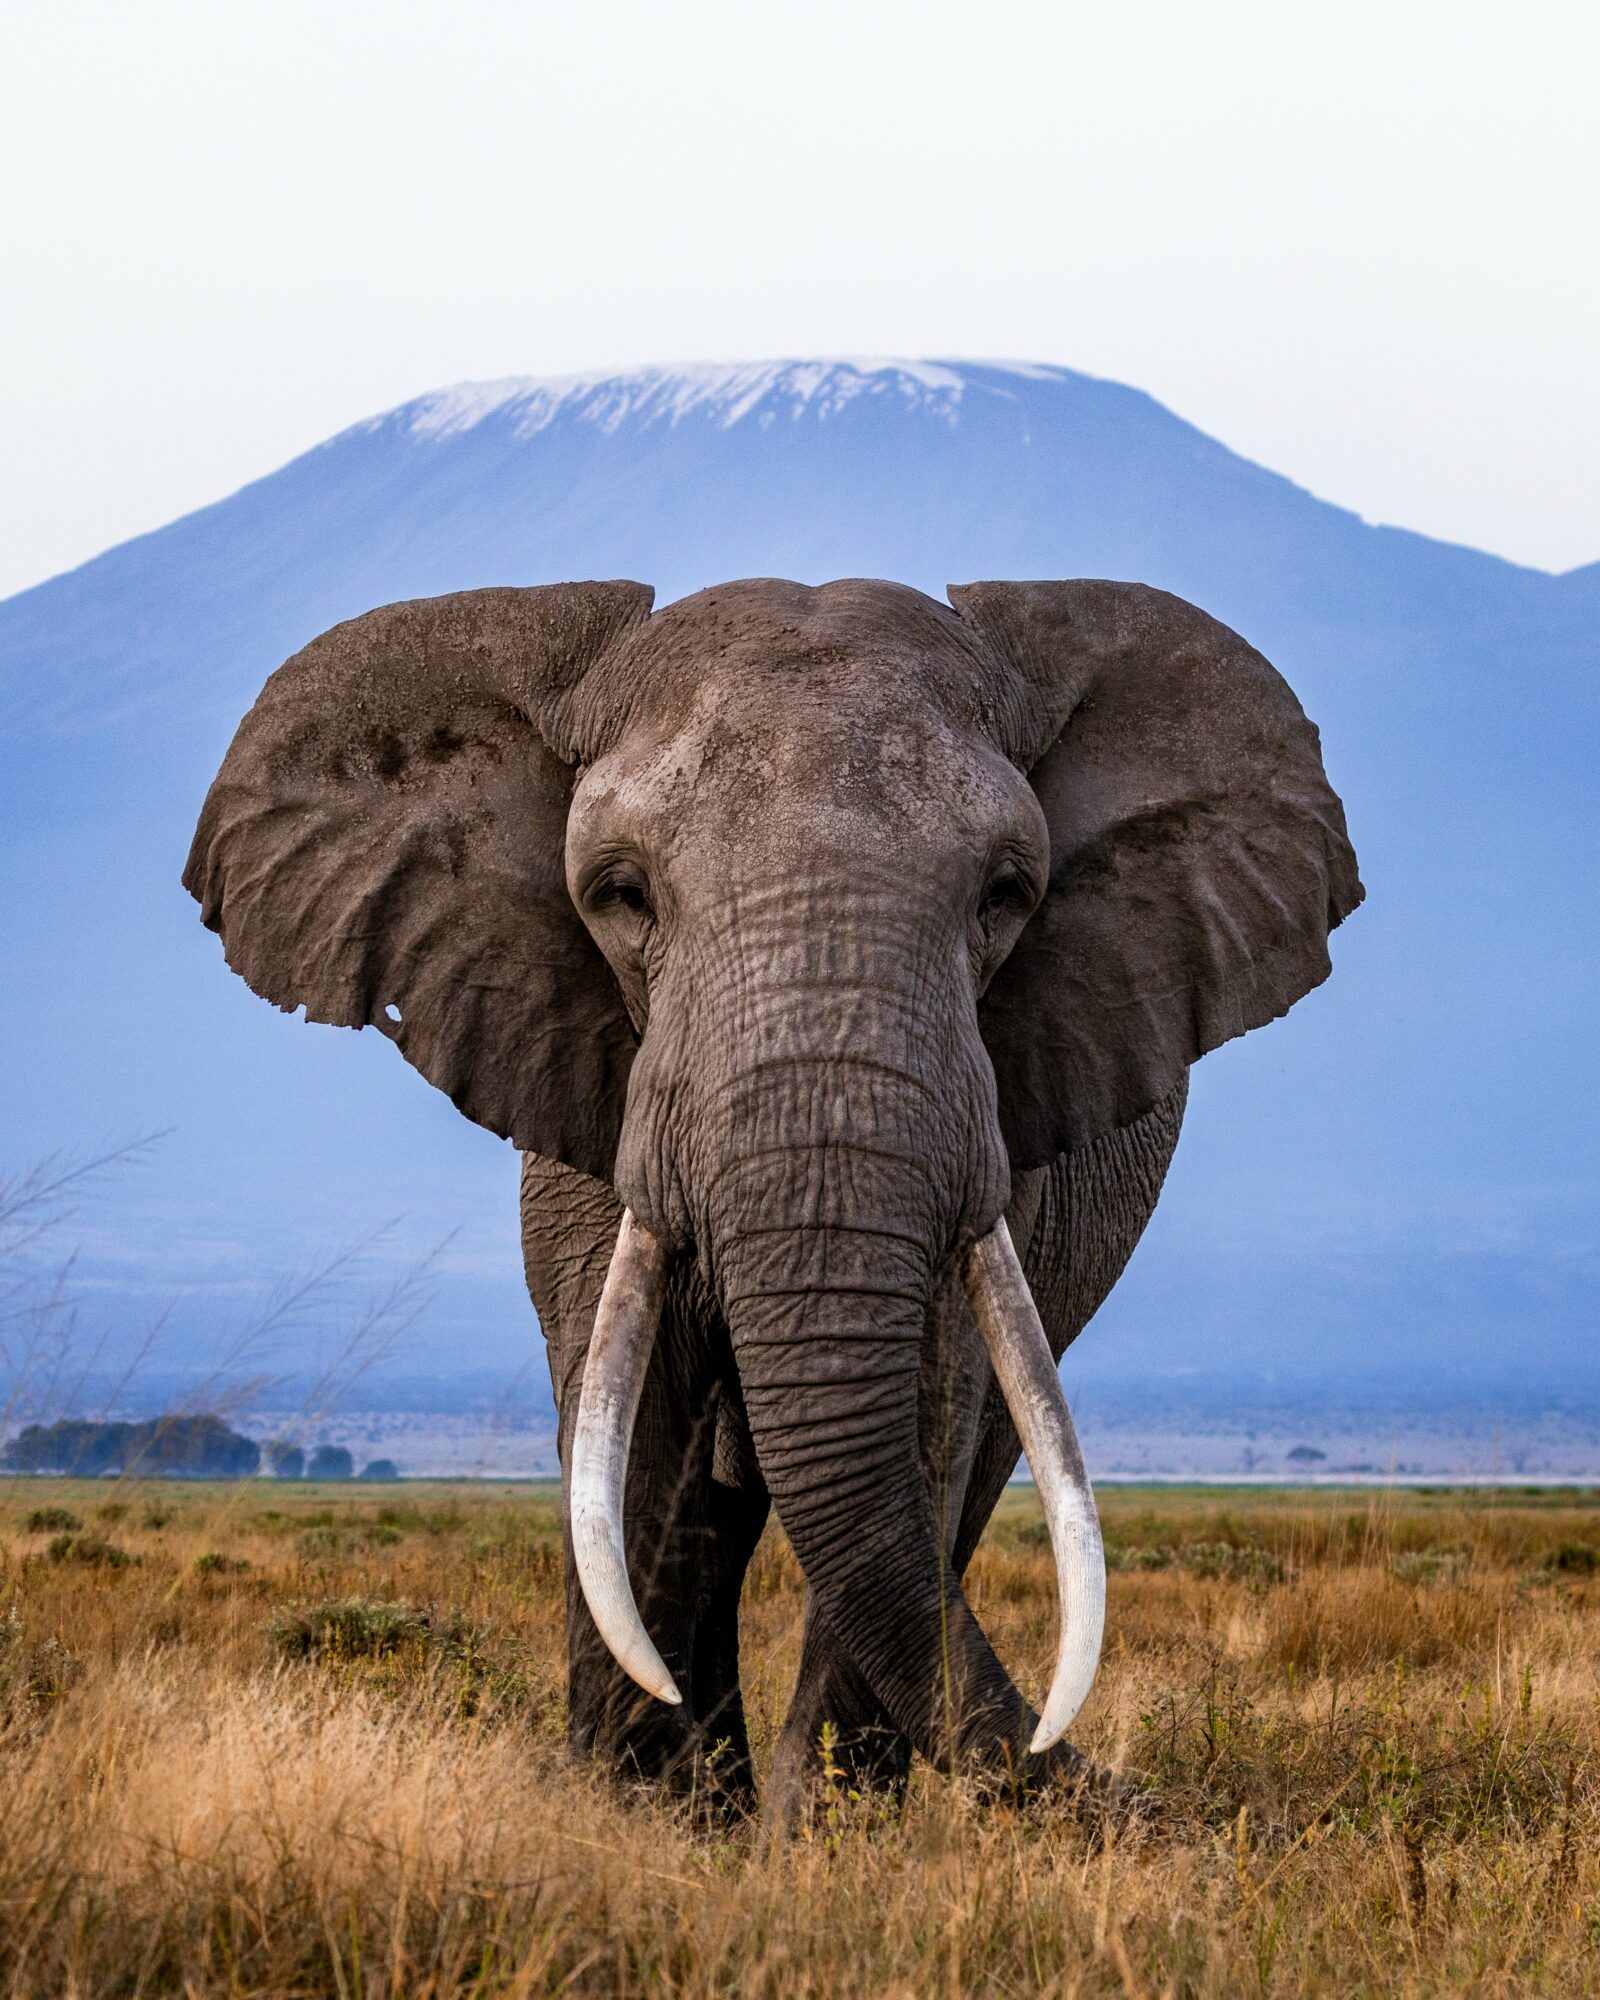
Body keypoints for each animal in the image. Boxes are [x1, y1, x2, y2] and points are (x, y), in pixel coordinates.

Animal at [185, 575, 1360, 1818]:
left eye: (1005, 896)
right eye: (621, 895)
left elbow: (924, 1422)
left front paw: (815, 1841)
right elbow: (633, 1438)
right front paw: (646, 1821)